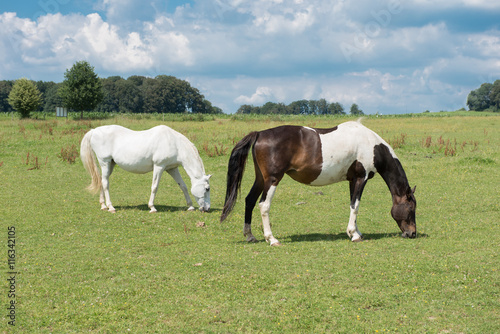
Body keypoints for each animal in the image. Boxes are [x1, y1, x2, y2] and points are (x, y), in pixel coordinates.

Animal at [81, 124, 210, 213]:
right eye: (207, 189)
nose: (207, 208)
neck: (175, 143)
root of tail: (94, 131)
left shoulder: (172, 169)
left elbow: (183, 186)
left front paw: (191, 206)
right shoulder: (159, 166)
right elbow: (154, 187)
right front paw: (152, 207)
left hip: (110, 165)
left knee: (102, 180)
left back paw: (103, 206)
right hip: (105, 162)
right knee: (105, 183)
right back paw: (111, 207)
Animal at [221, 120, 416, 245]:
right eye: (411, 208)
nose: (412, 233)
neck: (371, 144)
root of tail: (260, 134)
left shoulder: (353, 180)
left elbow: (352, 205)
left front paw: (356, 232)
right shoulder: (362, 178)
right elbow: (356, 206)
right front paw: (354, 235)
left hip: (261, 179)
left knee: (249, 200)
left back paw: (250, 236)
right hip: (272, 180)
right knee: (263, 205)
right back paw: (272, 239)